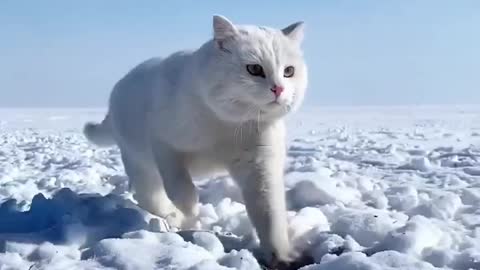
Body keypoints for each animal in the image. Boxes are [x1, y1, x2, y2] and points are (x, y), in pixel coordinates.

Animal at [83, 14, 308, 264]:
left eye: (289, 71)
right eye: (254, 69)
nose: (279, 89)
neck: (226, 124)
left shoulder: (260, 165)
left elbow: (270, 214)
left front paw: (282, 255)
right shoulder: (164, 144)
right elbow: (181, 188)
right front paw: (189, 212)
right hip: (139, 162)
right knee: (149, 195)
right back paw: (172, 217)